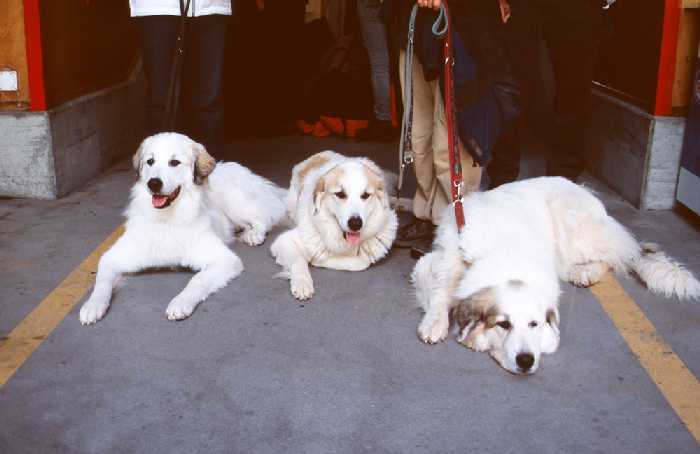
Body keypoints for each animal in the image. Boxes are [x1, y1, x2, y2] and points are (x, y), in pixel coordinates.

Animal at [80, 132, 288, 326]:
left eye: (174, 162)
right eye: (150, 161)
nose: (153, 183)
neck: (167, 221)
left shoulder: (225, 260)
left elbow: (197, 281)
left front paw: (180, 303)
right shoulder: (111, 258)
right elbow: (101, 282)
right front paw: (92, 306)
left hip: (237, 203)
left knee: (267, 215)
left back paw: (254, 234)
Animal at [270, 151, 396, 302]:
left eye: (365, 195)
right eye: (340, 194)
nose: (355, 223)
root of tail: (320, 154)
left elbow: (360, 263)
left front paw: (317, 260)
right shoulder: (284, 242)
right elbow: (299, 261)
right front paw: (302, 284)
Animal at [412, 177, 696, 376]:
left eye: (534, 325)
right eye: (503, 325)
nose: (526, 360)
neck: (503, 251)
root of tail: (582, 188)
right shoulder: (434, 261)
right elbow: (440, 291)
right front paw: (434, 324)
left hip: (575, 230)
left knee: (618, 257)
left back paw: (584, 271)